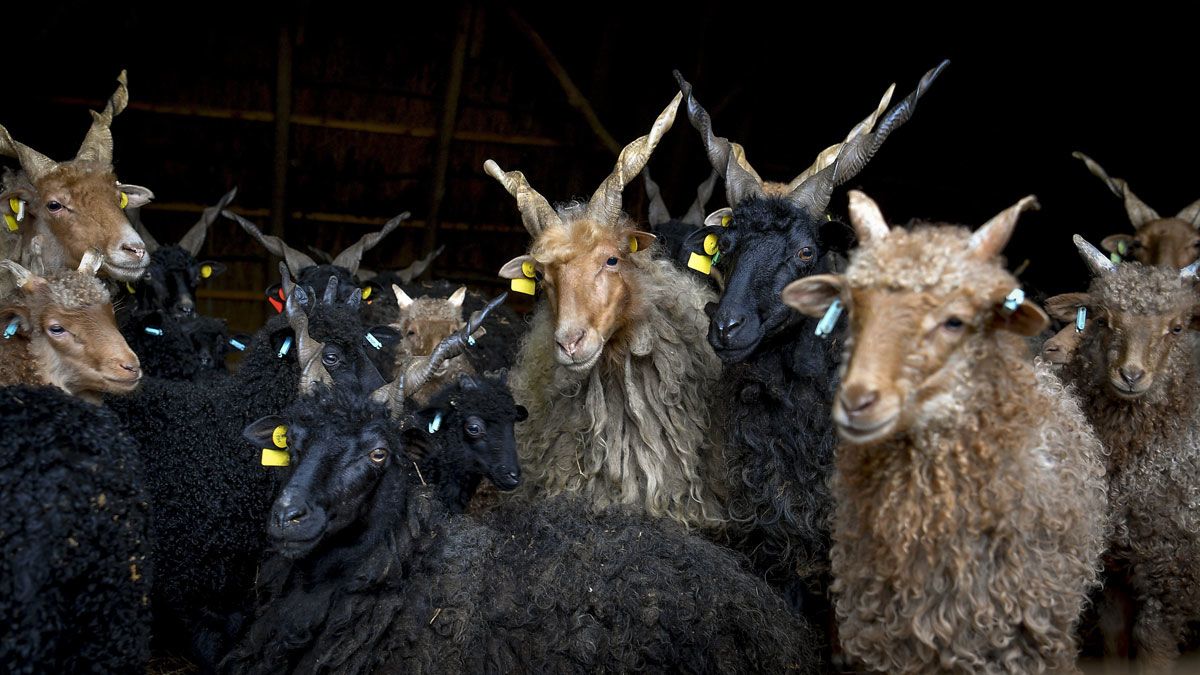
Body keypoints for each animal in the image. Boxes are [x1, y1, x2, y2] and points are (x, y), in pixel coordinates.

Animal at [1044, 236, 1200, 671]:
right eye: (1102, 319)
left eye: (1176, 328)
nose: (1130, 375)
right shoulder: (1113, 570)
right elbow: (1115, 642)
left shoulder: (1174, 570)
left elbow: (1153, 648)